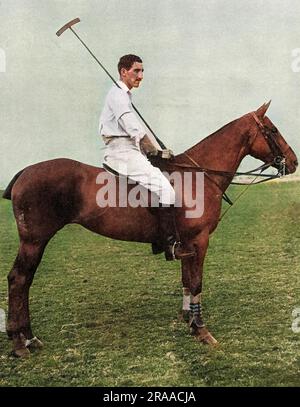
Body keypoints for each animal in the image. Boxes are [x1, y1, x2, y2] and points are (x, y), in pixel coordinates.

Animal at [1, 102, 298, 356]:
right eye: (273, 130)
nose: (294, 162)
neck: (199, 176)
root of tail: (24, 172)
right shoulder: (200, 240)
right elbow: (197, 282)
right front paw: (202, 331)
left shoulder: (187, 244)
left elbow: (186, 281)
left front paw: (188, 320)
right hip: (34, 240)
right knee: (19, 279)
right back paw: (20, 343)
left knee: (23, 280)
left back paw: (29, 338)